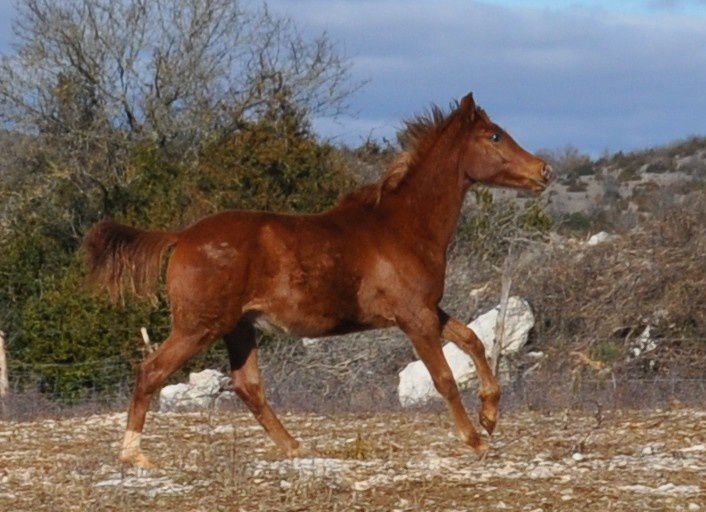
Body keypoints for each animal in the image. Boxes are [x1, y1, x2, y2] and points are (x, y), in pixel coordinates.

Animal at [84, 92, 552, 468]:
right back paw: (134, 454)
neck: (403, 226)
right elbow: (444, 379)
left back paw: (295, 447)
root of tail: (181, 236)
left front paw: (490, 416)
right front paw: (476, 439)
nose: (544, 171)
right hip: (199, 326)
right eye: (494, 136)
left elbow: (472, 339)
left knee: (248, 387)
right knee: (151, 371)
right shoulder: (414, 317)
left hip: (238, 328)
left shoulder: (426, 310)